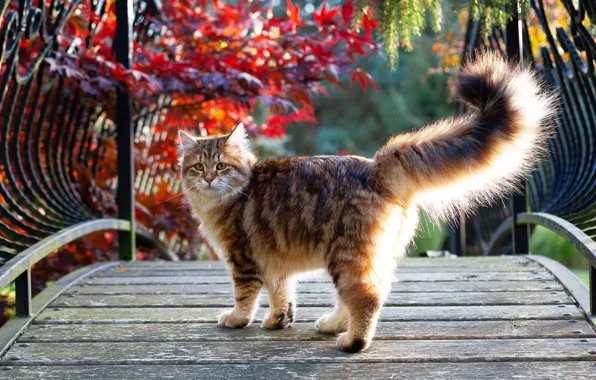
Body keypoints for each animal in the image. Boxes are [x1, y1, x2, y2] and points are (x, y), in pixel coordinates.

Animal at [176, 52, 556, 352]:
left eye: (221, 166)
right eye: (198, 167)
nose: (209, 179)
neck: (230, 197)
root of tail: (374, 167)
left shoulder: (243, 257)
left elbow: (246, 296)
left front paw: (236, 319)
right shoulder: (273, 263)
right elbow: (281, 295)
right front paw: (278, 320)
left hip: (346, 256)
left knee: (366, 298)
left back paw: (352, 342)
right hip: (365, 256)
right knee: (362, 296)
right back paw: (333, 326)